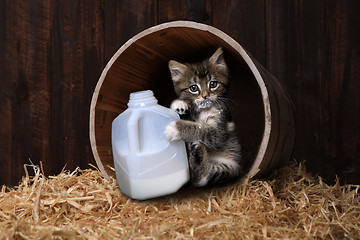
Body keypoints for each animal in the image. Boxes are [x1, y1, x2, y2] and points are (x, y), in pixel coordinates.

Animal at [165, 47, 243, 188]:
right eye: (193, 88)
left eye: (213, 84)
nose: (205, 96)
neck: (204, 110)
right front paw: (179, 105)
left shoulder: (219, 131)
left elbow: (202, 128)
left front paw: (175, 128)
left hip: (228, 168)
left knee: (202, 178)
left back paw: (197, 149)